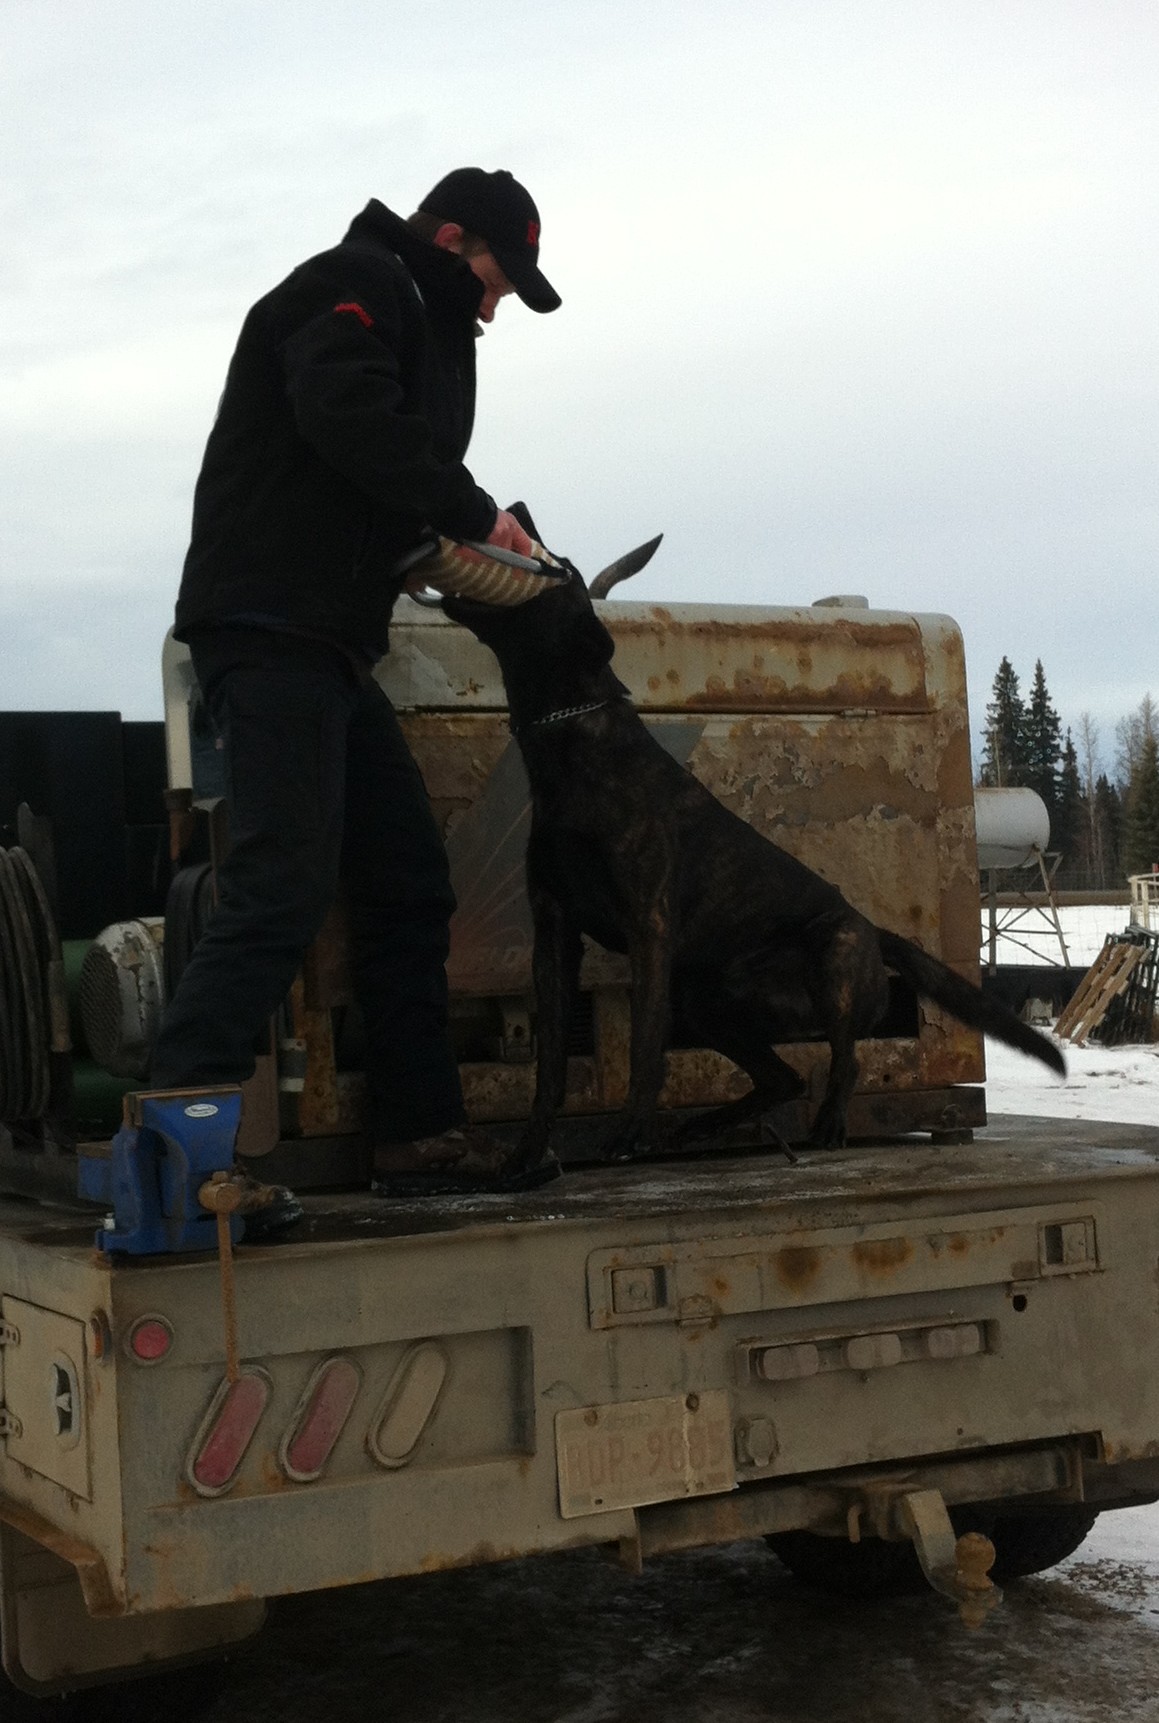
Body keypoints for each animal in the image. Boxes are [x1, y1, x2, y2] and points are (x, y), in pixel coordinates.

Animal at [438, 526, 1066, 1164]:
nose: (513, 522)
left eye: (557, 568)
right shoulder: (554, 933)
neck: (576, 747)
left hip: (833, 959)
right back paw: (709, 1124)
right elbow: (549, 1069)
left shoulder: (648, 927)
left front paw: (629, 1135)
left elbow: (644, 1048)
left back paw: (829, 1123)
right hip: (708, 1001)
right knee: (784, 1077)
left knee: (846, 1060)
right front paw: (528, 1157)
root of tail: (876, 931)